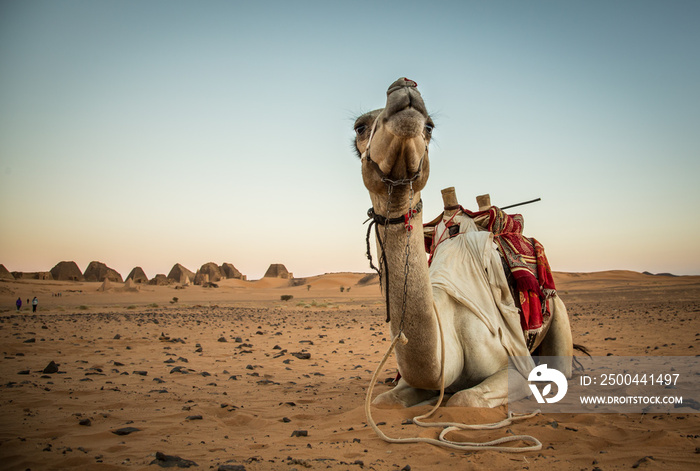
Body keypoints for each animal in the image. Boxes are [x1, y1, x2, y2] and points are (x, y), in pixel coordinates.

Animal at [352, 78, 572, 410]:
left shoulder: (515, 369)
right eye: (360, 127)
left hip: (559, 315)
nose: (406, 89)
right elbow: (383, 402)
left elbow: (464, 400)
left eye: (430, 127)